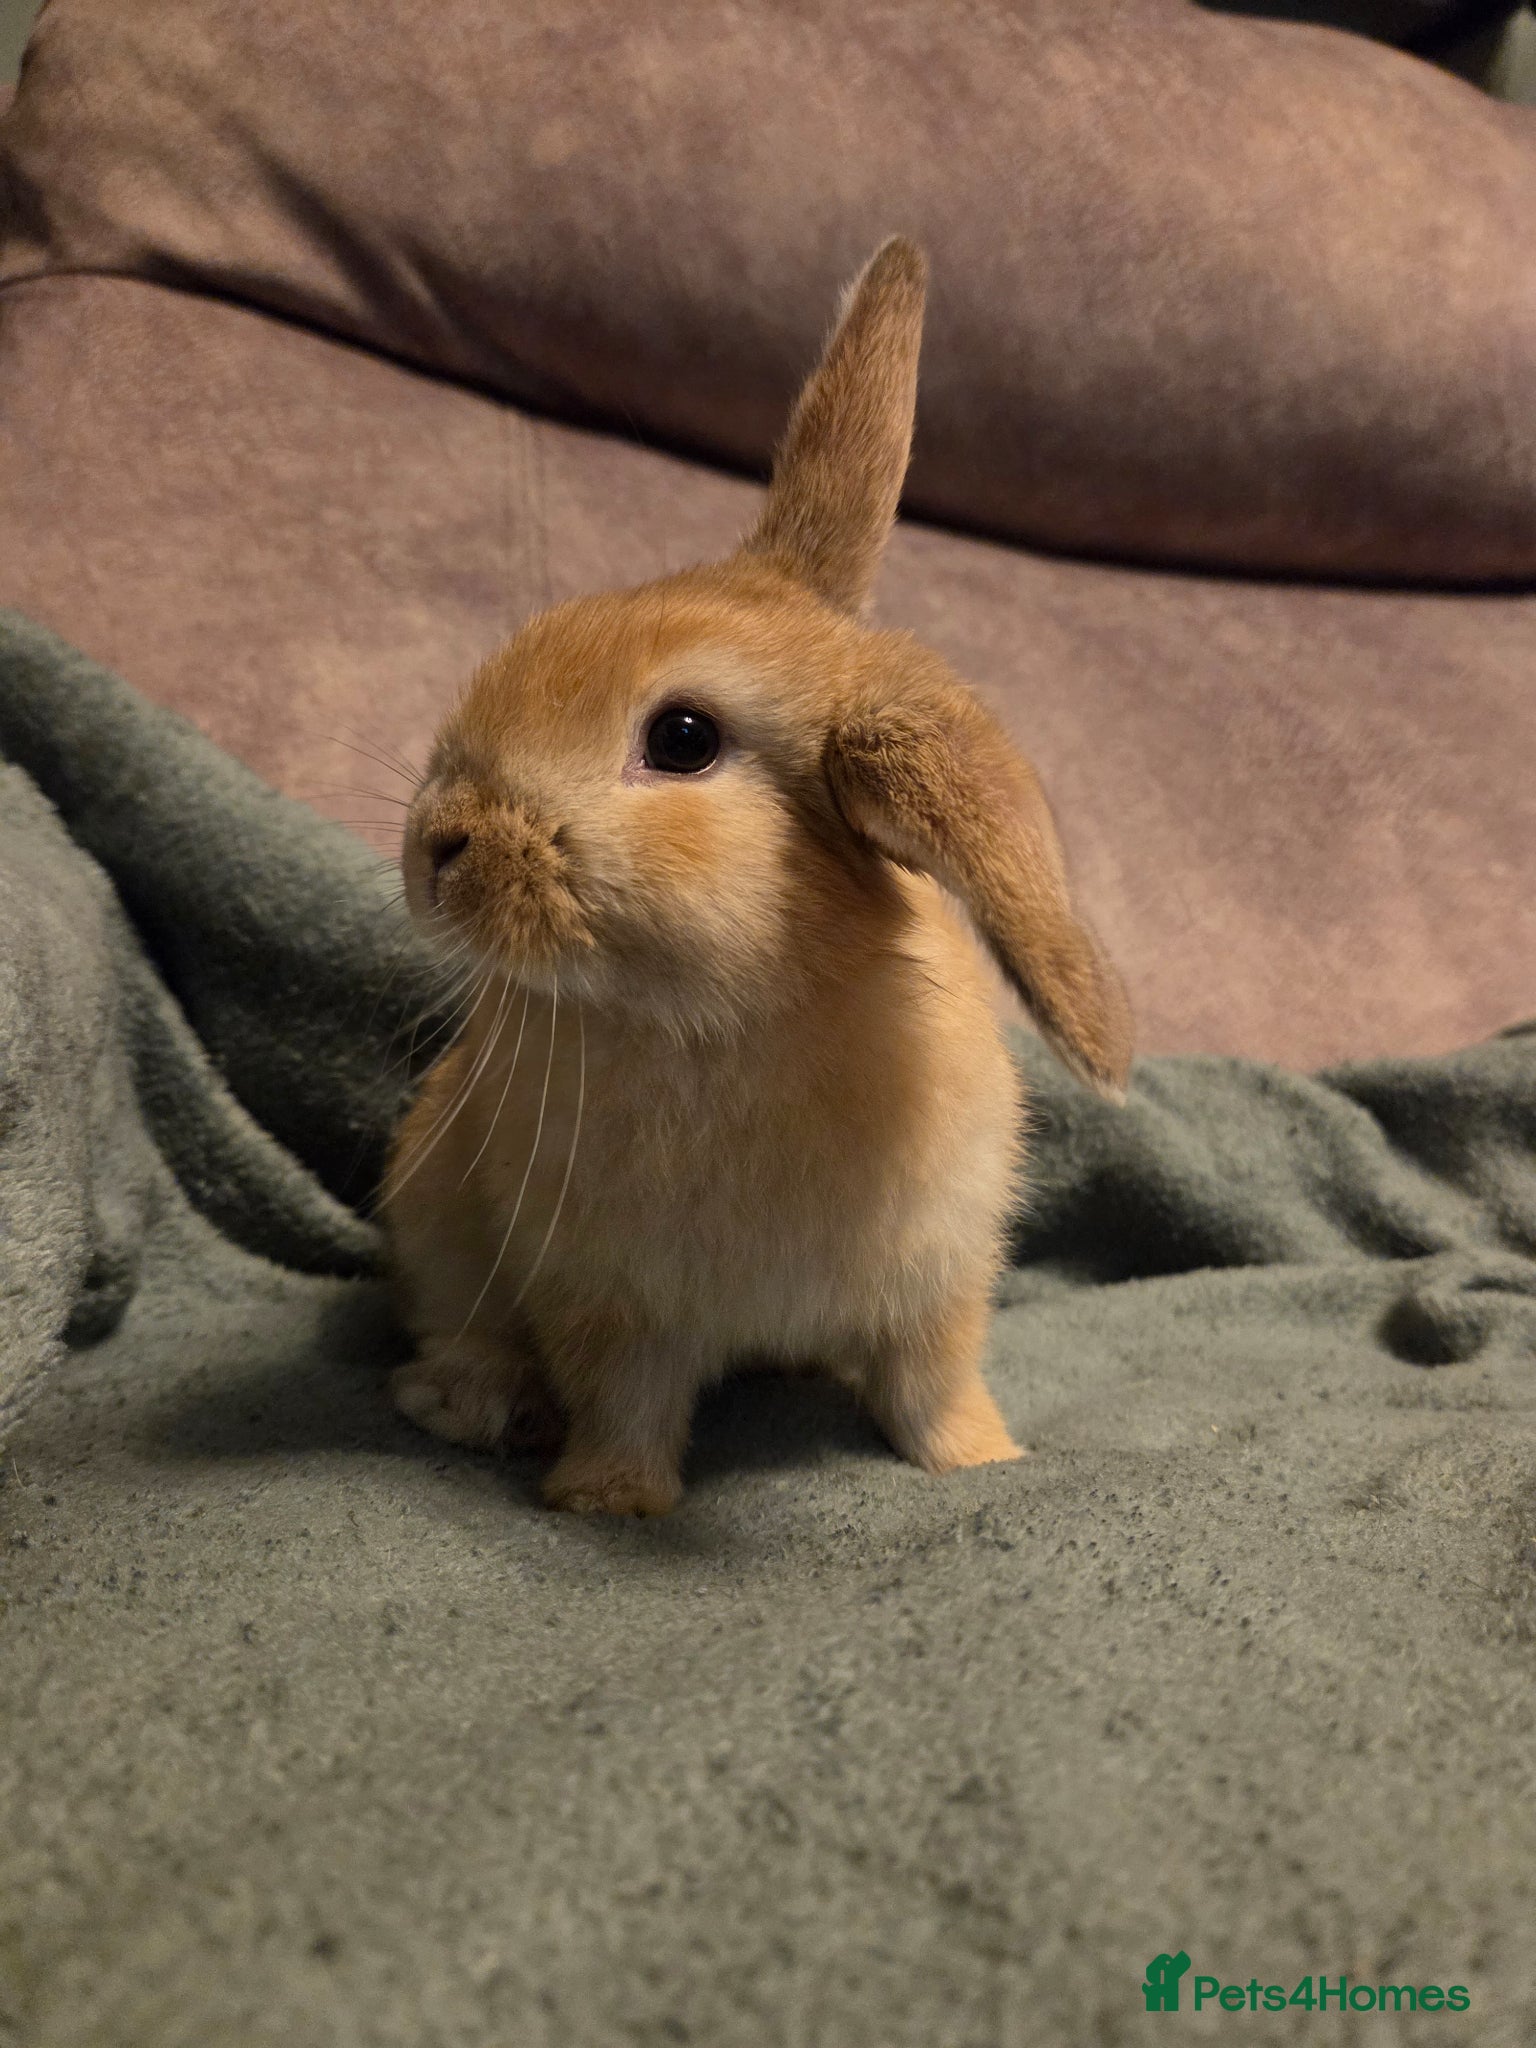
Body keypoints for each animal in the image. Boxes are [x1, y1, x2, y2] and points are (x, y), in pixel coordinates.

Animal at [382, 237, 1132, 1516]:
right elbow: (625, 1401)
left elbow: (934, 1383)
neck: (717, 1021)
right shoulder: (606, 1299)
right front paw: (606, 1499)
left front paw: (984, 1460)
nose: (437, 844)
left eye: (683, 738)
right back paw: (474, 1401)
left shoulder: (938, 1280)